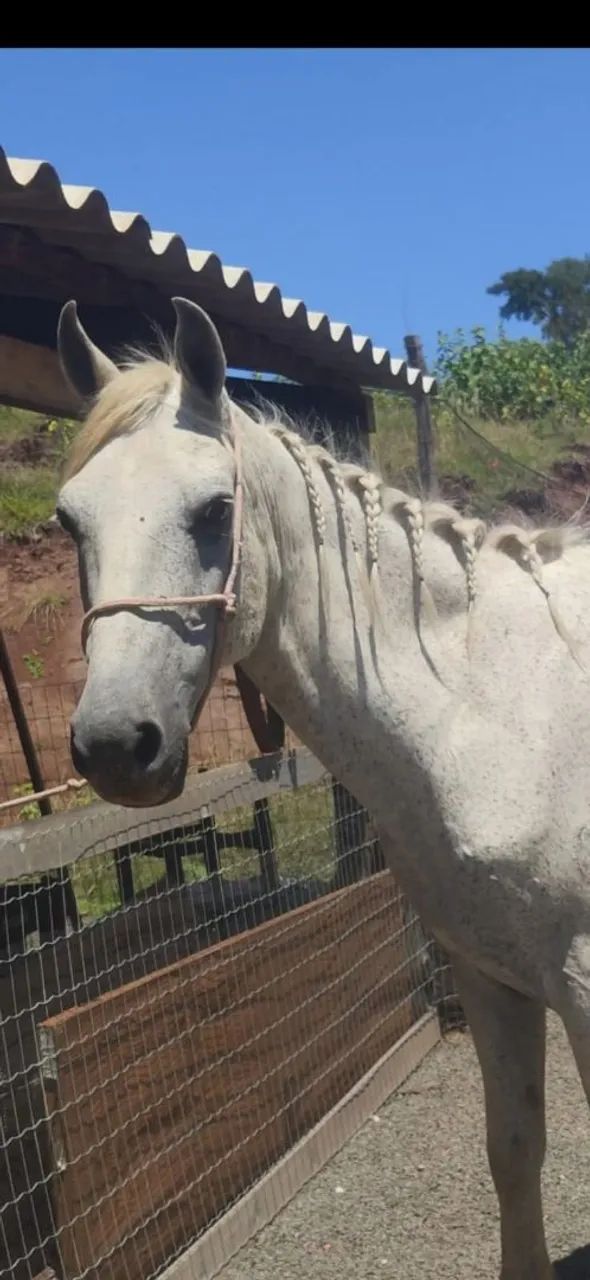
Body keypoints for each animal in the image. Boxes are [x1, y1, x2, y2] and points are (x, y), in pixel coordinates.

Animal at [55, 296, 590, 1279]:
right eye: (73, 522)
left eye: (215, 510)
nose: (115, 745)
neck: (495, 703)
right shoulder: (492, 975)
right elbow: (514, 1151)